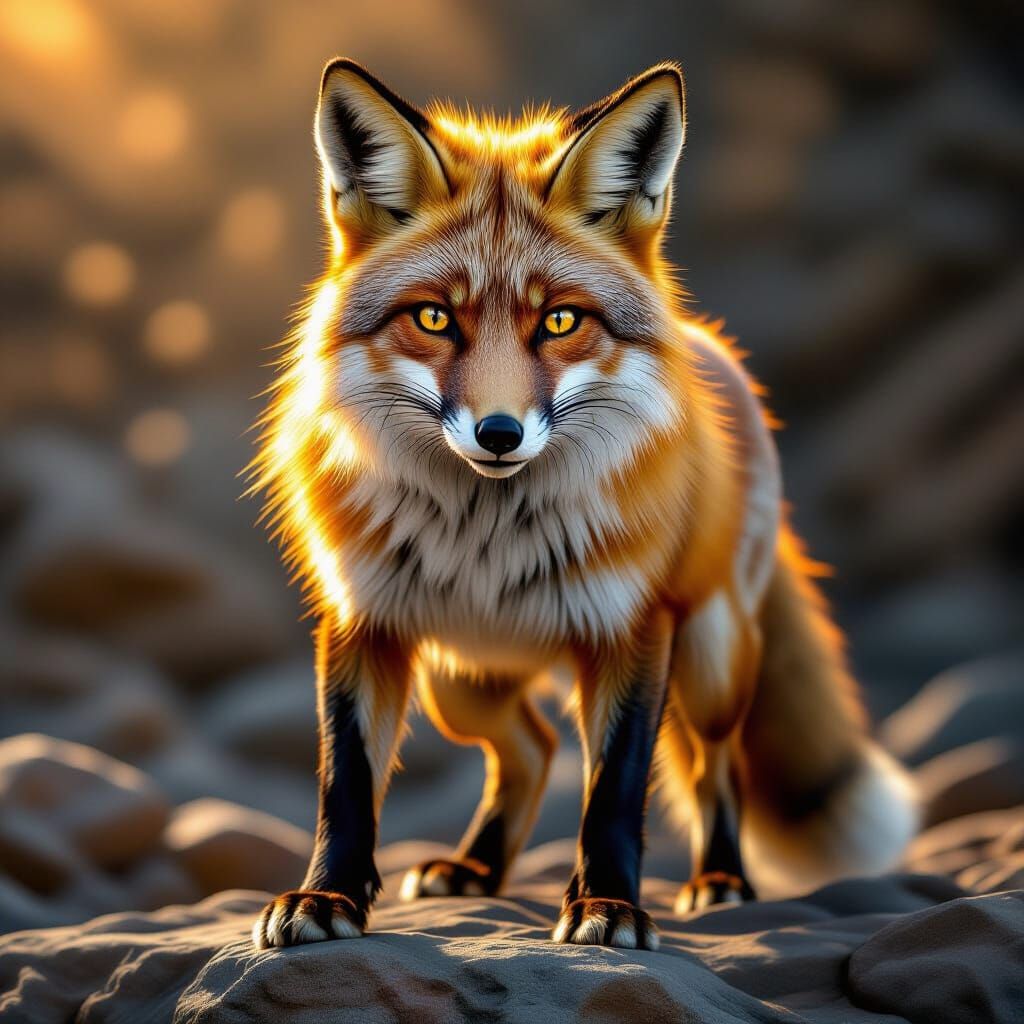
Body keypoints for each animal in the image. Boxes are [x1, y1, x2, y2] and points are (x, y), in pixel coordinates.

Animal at [250, 58, 918, 952]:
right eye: (434, 317)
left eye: (560, 320)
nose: (499, 433)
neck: (487, 535)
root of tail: (708, 346)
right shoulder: (363, 618)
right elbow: (344, 782)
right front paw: (326, 896)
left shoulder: (633, 627)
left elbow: (615, 792)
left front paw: (607, 906)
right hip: (461, 683)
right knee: (529, 747)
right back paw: (477, 868)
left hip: (710, 663)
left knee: (718, 766)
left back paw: (720, 880)